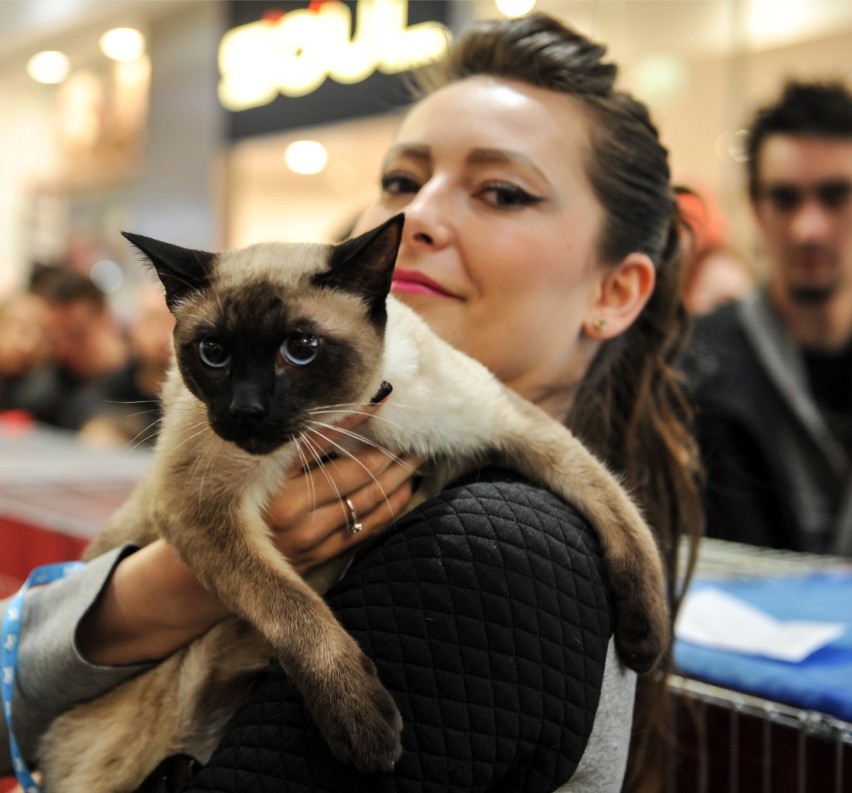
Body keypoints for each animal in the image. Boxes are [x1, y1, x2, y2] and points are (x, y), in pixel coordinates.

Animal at [38, 213, 664, 788]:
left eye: (301, 349)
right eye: (213, 353)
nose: (245, 412)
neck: (353, 423)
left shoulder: (521, 430)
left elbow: (623, 514)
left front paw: (645, 644)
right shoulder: (198, 505)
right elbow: (296, 611)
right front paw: (368, 733)